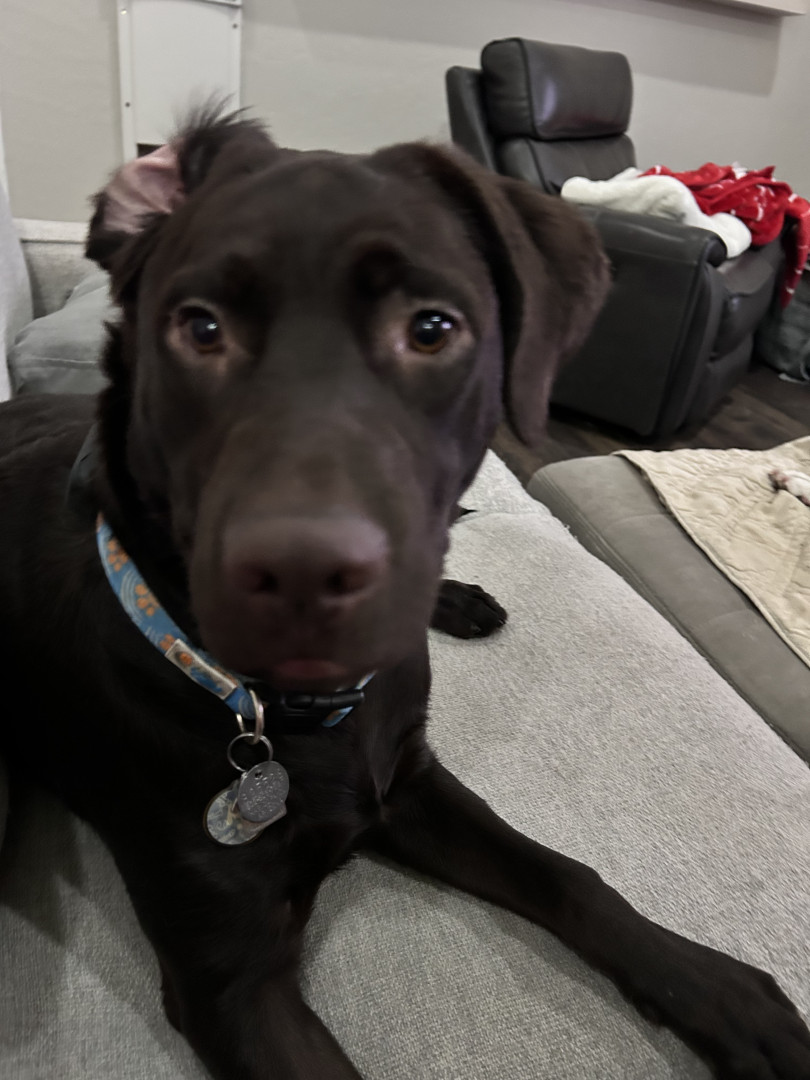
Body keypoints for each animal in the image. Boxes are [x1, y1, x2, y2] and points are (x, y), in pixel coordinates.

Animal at [1, 110, 808, 1079]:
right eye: (200, 328)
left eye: (430, 328)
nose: (304, 576)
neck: (290, 717)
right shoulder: (229, 984)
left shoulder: (411, 781)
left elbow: (571, 876)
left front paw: (722, 994)